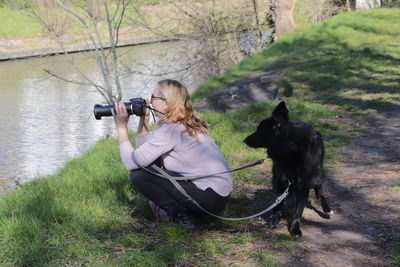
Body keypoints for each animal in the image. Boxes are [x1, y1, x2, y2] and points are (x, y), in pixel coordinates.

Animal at [244, 101, 332, 238]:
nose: (244, 140)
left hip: (316, 173)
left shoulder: (303, 185)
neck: (290, 151)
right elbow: (279, 203)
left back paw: (326, 208)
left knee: (319, 188)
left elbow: (298, 210)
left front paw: (295, 228)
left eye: (260, 130)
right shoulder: (280, 179)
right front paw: (275, 218)